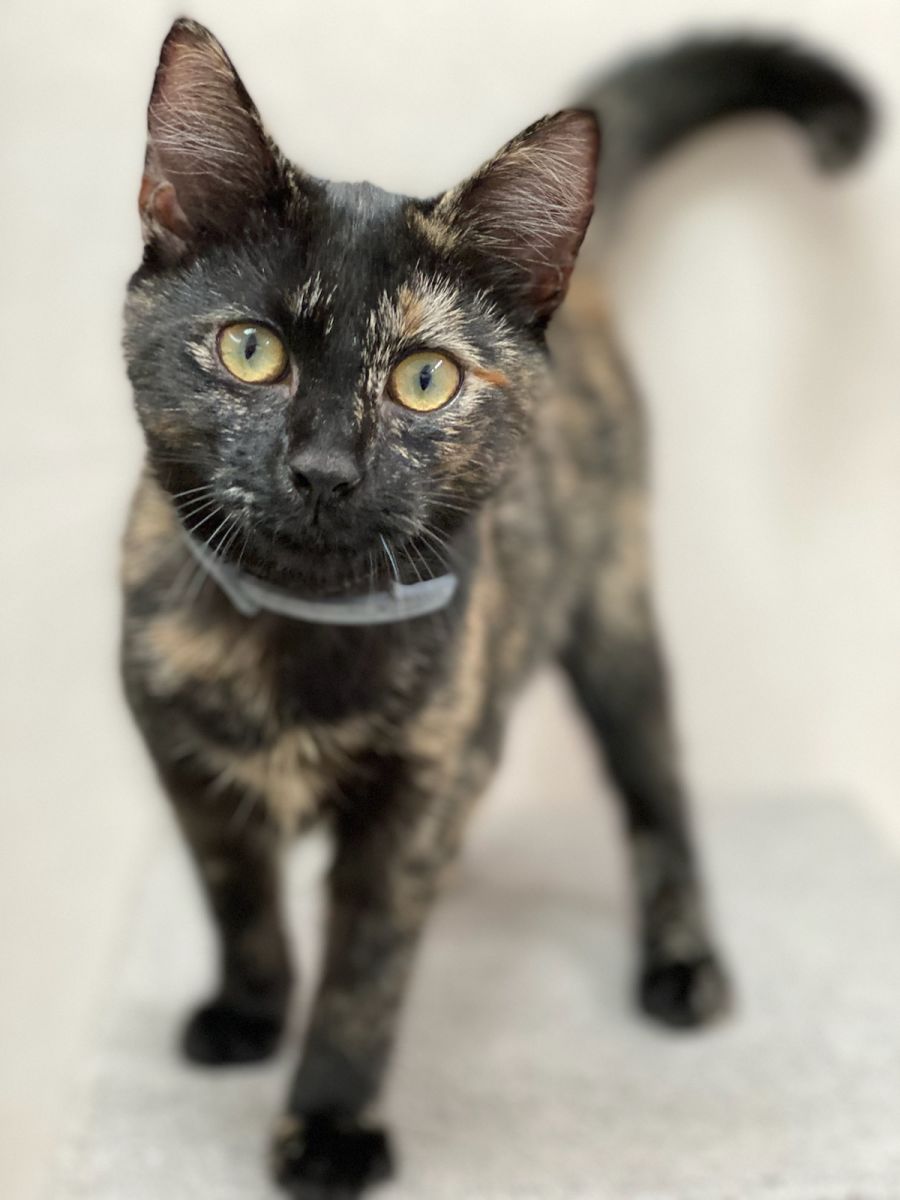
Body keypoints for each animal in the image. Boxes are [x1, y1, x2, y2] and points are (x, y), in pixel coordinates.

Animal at [121, 18, 872, 1199]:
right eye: (251, 350)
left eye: (424, 380)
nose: (325, 471)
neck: (299, 633)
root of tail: (581, 284)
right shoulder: (180, 755)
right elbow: (234, 892)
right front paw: (250, 1008)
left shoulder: (415, 791)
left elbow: (367, 970)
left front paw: (328, 1123)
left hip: (614, 623)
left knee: (661, 798)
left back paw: (683, 962)